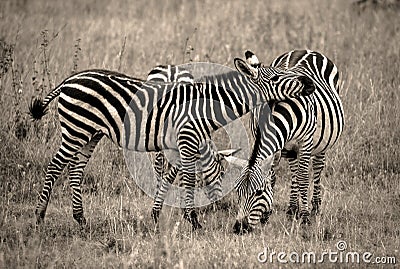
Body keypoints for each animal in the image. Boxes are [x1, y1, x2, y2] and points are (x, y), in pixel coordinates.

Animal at [29, 57, 314, 229]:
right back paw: (39, 215)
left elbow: (171, 176)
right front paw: (194, 221)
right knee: (55, 166)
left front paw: (159, 215)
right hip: (76, 128)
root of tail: (70, 79)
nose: (309, 82)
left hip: (91, 133)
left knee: (75, 170)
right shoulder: (187, 140)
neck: (205, 107)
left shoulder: (179, 144)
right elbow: (188, 178)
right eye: (276, 78)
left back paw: (81, 219)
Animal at [234, 49, 344, 232]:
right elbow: (273, 177)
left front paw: (305, 218)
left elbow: (303, 178)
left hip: (322, 143)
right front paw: (267, 214)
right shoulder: (269, 141)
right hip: (289, 148)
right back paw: (292, 208)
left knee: (316, 168)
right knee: (294, 170)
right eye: (237, 192)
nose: (239, 228)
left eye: (258, 193)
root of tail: (306, 50)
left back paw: (315, 207)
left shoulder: (305, 142)